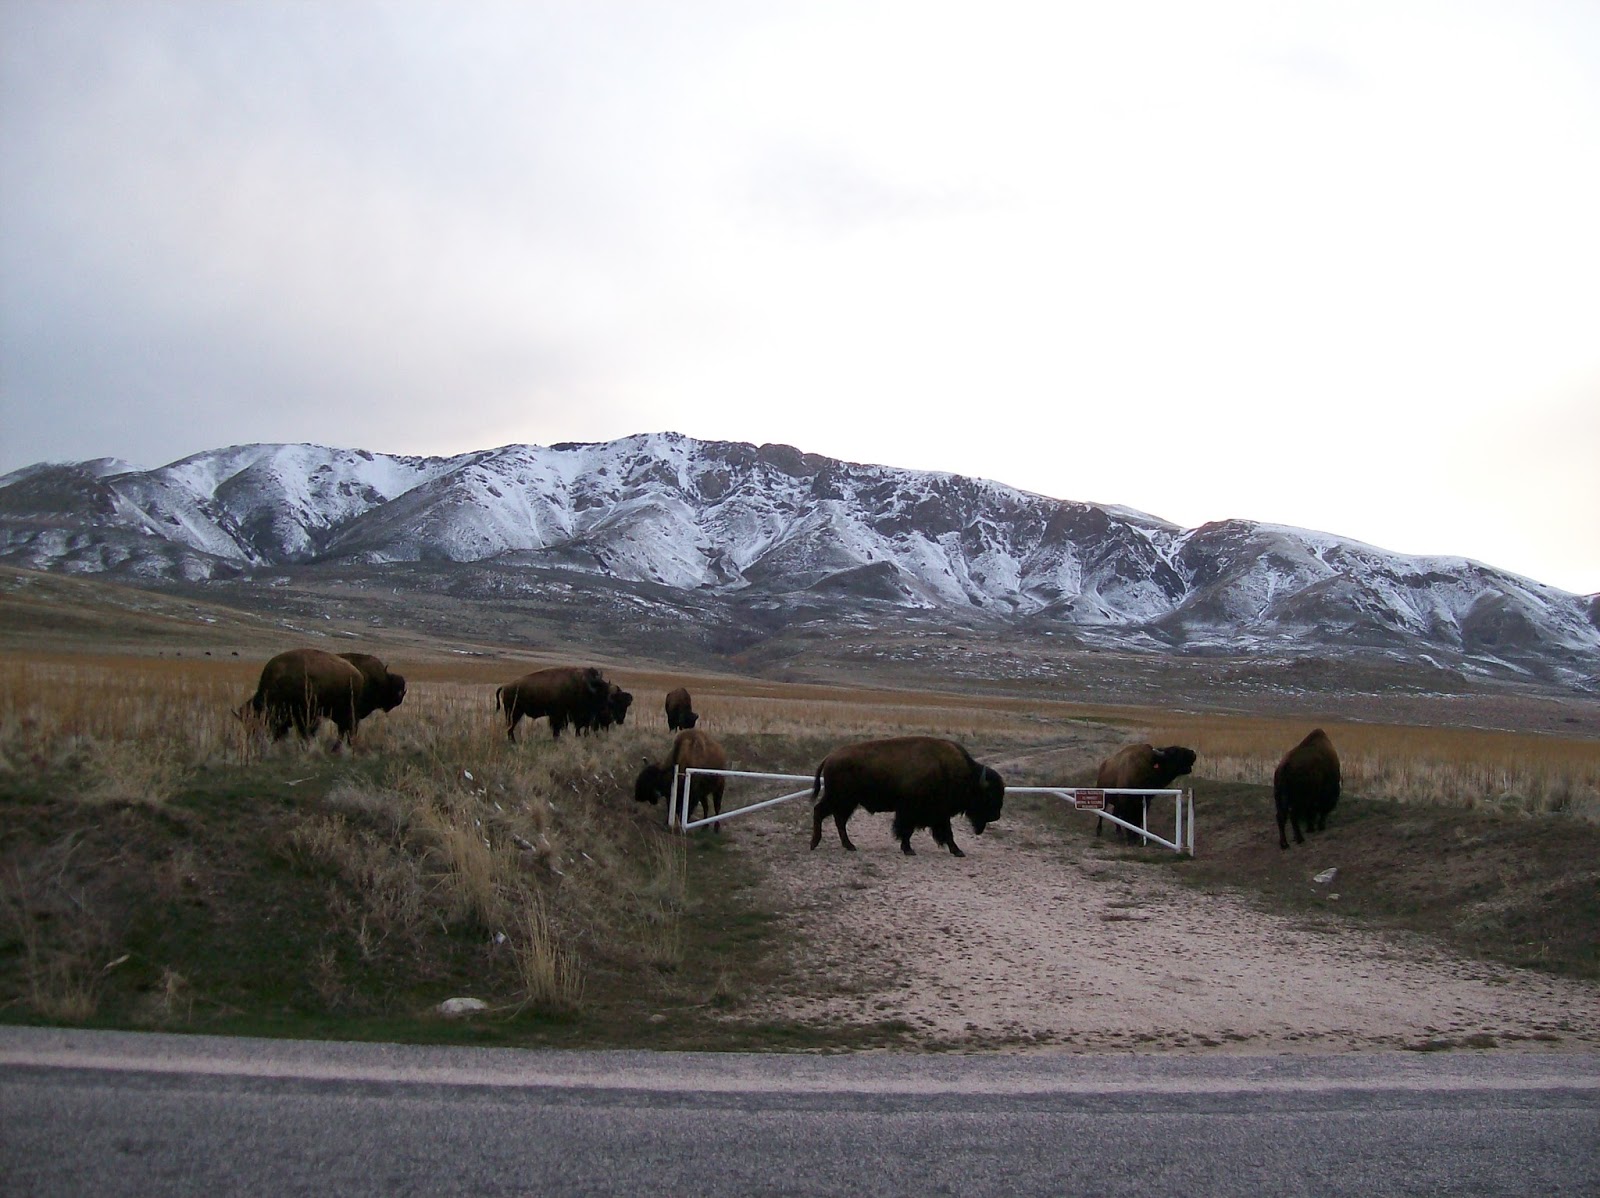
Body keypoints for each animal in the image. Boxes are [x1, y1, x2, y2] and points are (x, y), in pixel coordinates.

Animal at [810, 736, 1005, 857]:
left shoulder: (939, 813)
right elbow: (908, 830)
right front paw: (909, 849)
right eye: (988, 795)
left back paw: (849, 846)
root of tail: (829, 757)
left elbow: (944, 832)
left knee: (838, 819)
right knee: (821, 812)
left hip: (846, 802)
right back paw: (815, 844)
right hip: (840, 799)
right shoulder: (912, 811)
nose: (996, 816)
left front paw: (956, 851)